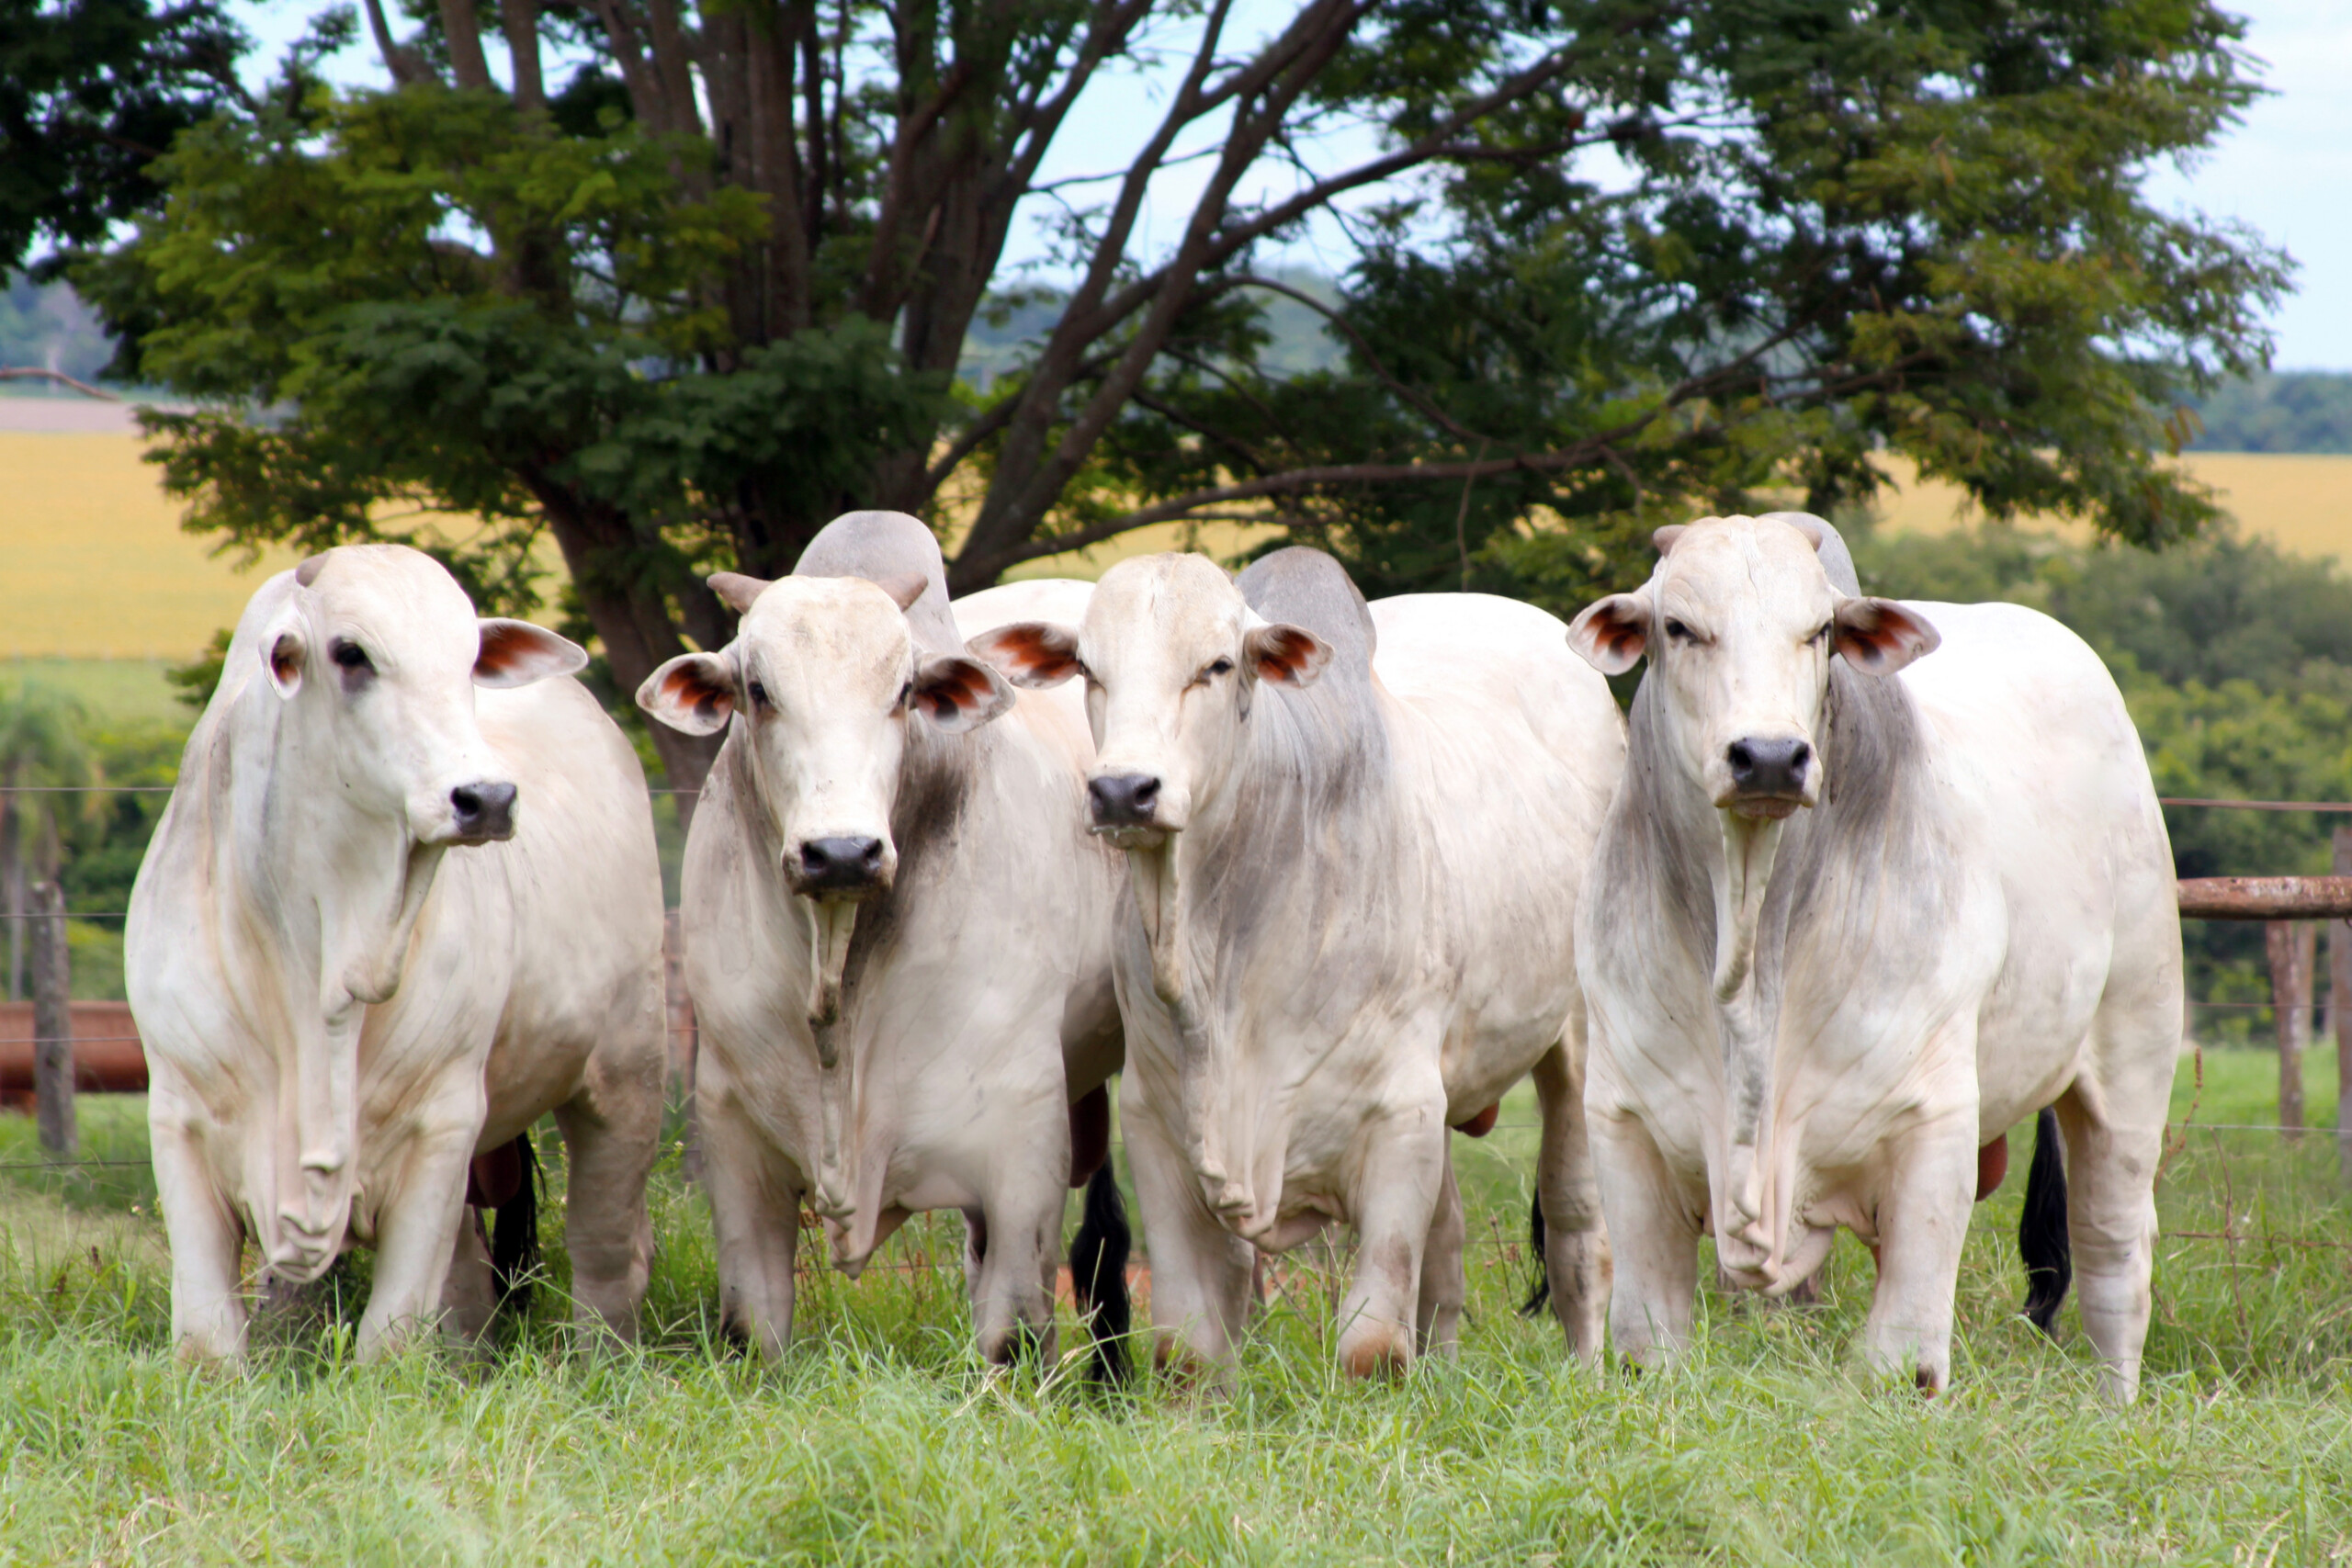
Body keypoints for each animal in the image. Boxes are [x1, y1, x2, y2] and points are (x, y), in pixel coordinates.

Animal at [125, 545, 668, 1363]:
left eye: (471, 658)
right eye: (351, 653)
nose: (487, 797)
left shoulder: (443, 1119)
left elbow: (391, 1336)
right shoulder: (180, 1113)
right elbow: (208, 1337)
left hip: (623, 1077)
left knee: (607, 1256)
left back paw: (603, 1356)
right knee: (470, 1280)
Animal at [639, 514, 1124, 1372]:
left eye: (903, 692)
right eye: (757, 689)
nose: (841, 852)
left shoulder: (1021, 1138)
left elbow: (1011, 1330)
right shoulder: (733, 1135)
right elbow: (752, 1324)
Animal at [964, 545, 1627, 1382]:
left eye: (1217, 665)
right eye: (1088, 666)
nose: (1122, 790)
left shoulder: (1401, 1119)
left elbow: (1372, 1346)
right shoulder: (1159, 1127)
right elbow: (1189, 1346)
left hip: (1575, 1041)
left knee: (1577, 1226)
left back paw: (1591, 1371)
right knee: (1446, 1246)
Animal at [1571, 512, 2173, 1401]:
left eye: (1819, 631)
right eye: (1677, 627)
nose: (1770, 756)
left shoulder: (1934, 1126)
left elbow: (1903, 1357)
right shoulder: (1623, 1124)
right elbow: (1649, 1343)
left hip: (2132, 1053)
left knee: (2113, 1260)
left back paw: (2113, 1406)